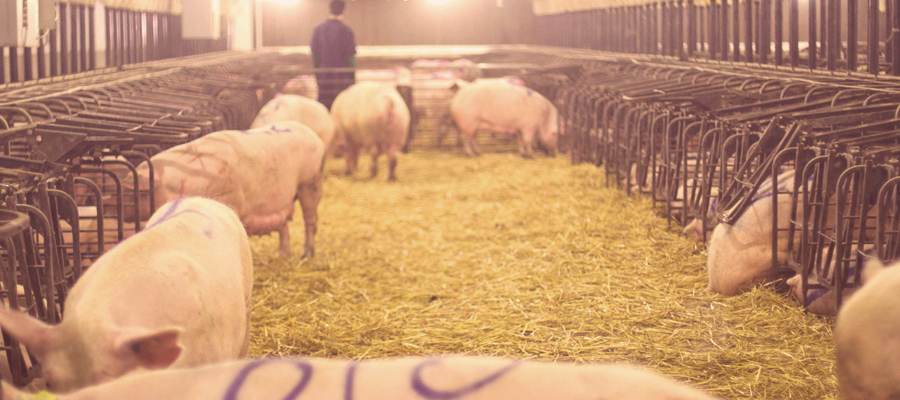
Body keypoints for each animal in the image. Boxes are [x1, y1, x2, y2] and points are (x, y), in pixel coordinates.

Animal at [123, 122, 326, 258]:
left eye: (131, 192)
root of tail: (315, 137)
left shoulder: (230, 199)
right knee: (284, 225)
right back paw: (282, 254)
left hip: (310, 182)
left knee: (310, 221)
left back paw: (306, 255)